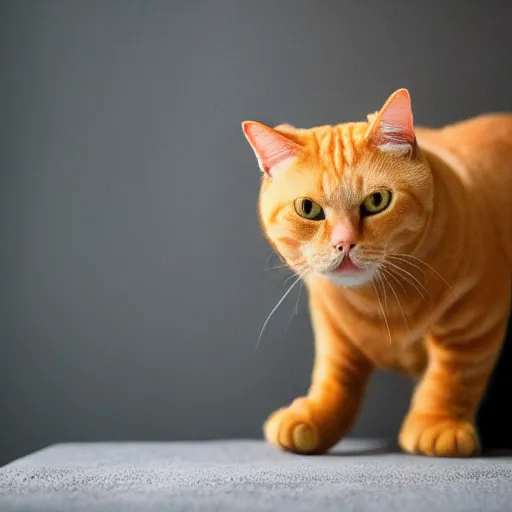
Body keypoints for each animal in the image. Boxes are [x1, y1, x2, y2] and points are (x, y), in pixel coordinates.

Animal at [241, 88, 512, 456]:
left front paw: (438, 424)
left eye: (377, 201)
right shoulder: (334, 331)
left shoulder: (474, 324)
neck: (381, 300)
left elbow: (452, 377)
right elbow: (334, 377)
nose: (344, 243)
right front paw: (314, 416)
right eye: (308, 209)